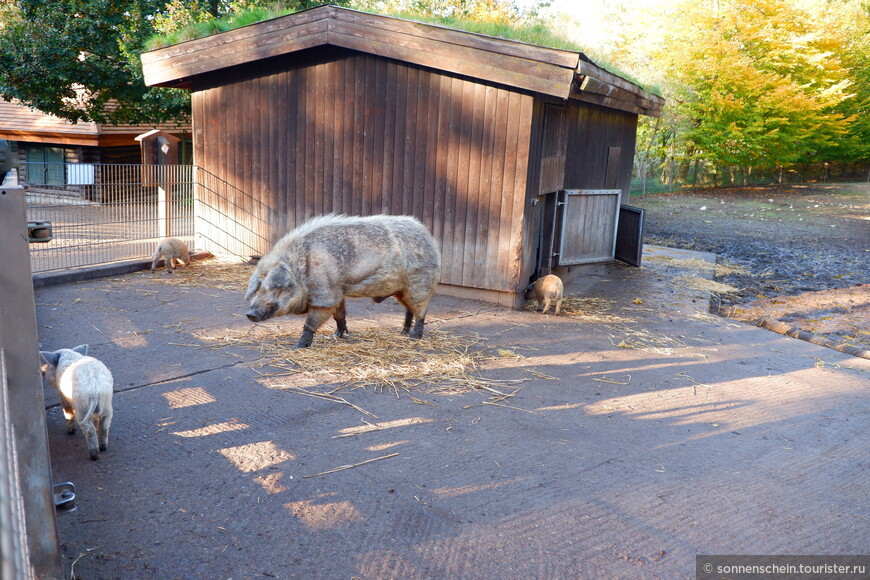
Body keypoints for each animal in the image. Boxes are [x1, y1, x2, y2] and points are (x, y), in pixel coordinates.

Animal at [245, 214, 442, 346]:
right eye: (259, 287)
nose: (250, 314)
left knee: (421, 310)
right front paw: (338, 335)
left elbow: (311, 323)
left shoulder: (325, 295)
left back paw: (414, 336)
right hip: (401, 289)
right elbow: (339, 314)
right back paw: (403, 331)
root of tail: (429, 237)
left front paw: (298, 347)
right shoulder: (337, 292)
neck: (302, 272)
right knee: (409, 309)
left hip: (420, 281)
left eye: (276, 288)